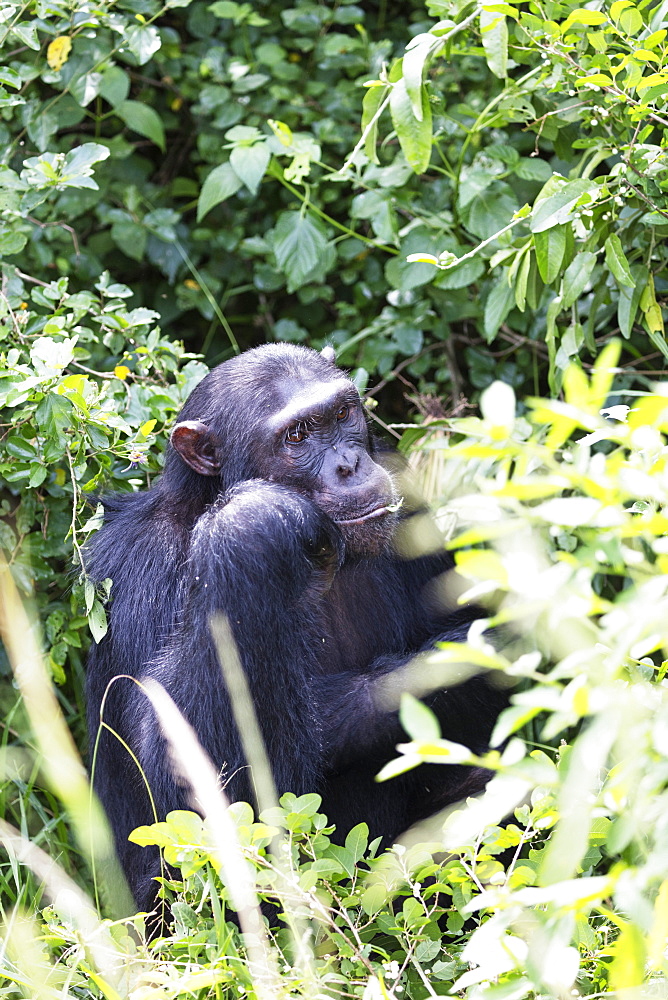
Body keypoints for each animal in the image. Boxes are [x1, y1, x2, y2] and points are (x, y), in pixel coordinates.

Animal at [87, 344, 506, 916]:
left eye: (342, 414)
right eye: (297, 437)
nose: (349, 465)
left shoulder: (404, 486)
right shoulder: (138, 573)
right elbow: (182, 803)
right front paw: (253, 519)